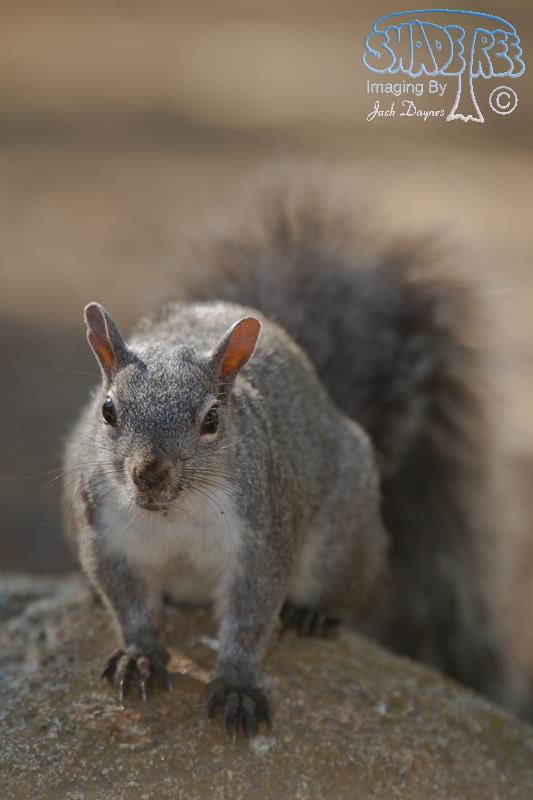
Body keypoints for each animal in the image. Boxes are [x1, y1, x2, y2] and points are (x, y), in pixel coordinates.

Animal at [64, 298, 388, 737]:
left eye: (212, 420)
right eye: (107, 409)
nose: (149, 473)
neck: (173, 512)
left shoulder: (260, 541)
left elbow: (251, 617)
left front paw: (237, 684)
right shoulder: (107, 536)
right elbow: (130, 603)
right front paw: (140, 656)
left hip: (339, 539)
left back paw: (311, 615)